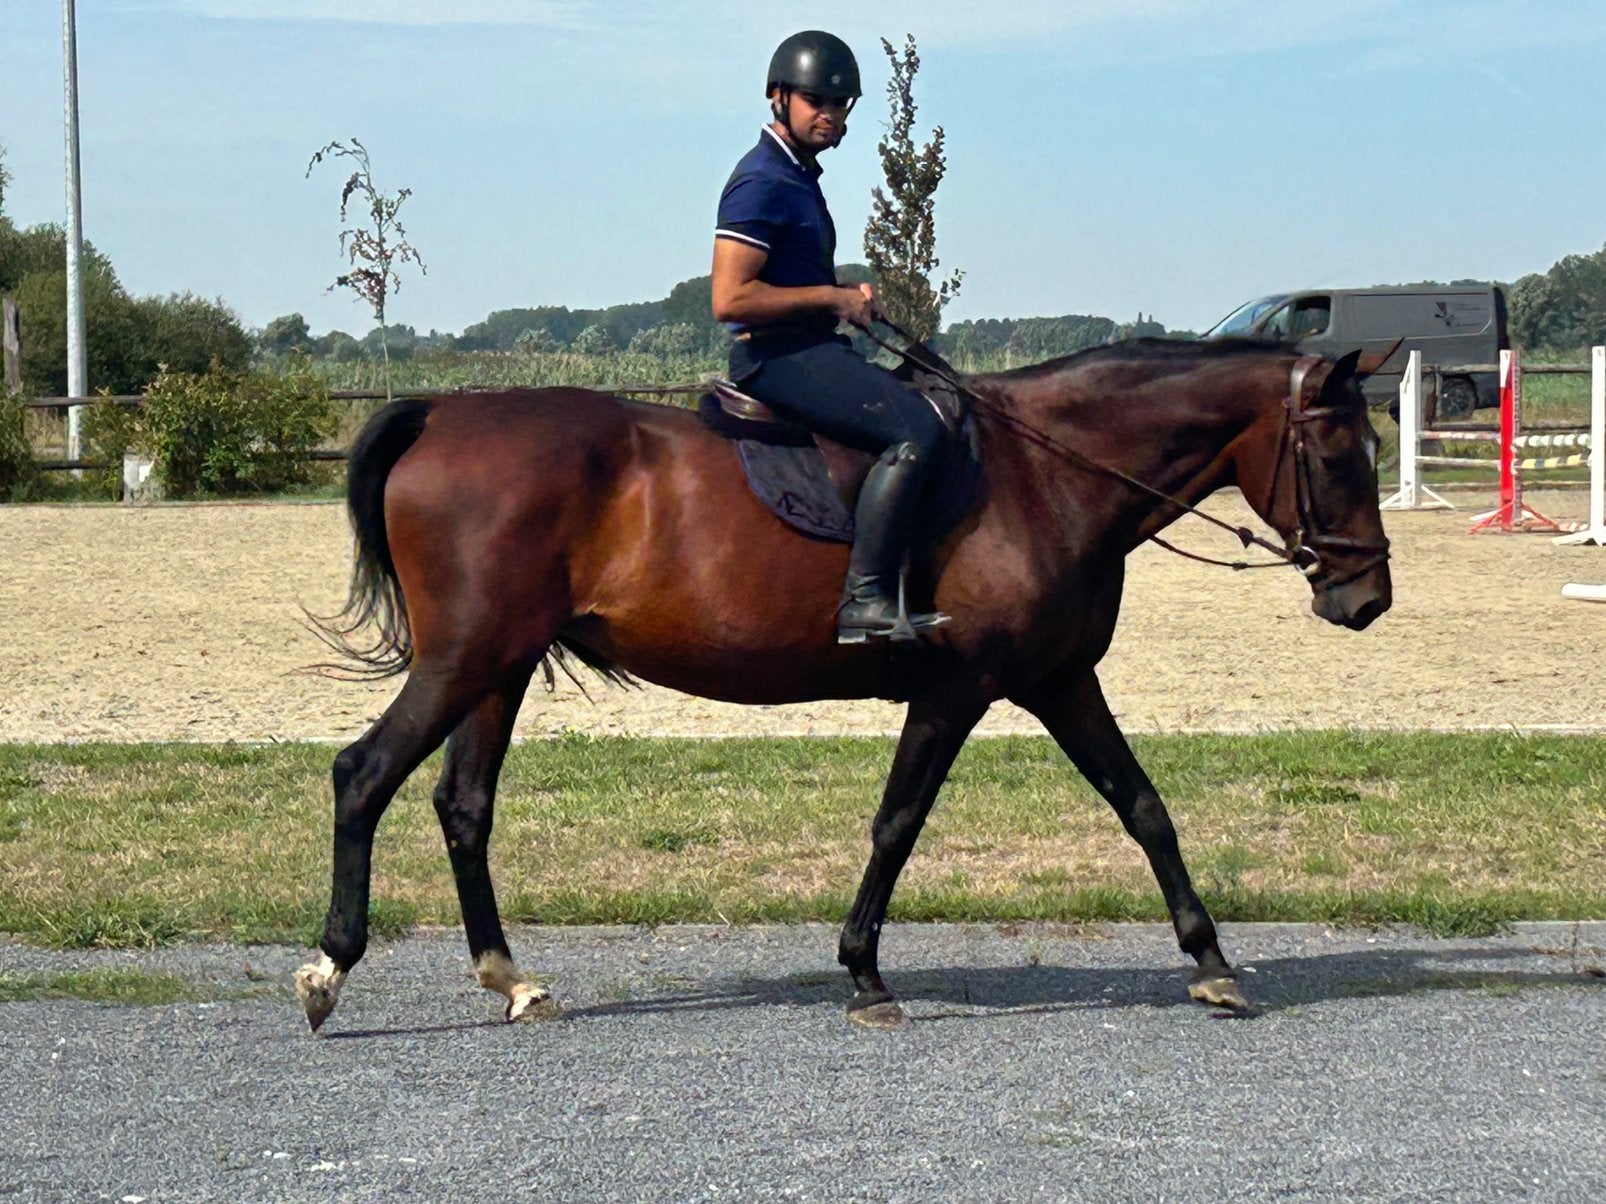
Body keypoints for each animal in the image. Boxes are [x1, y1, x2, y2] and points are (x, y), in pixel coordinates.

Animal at [293, 338, 1391, 1032]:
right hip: (465, 659)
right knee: (365, 774)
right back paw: (329, 969)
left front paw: (1212, 963)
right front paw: (863, 974)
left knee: (462, 804)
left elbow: (1143, 806)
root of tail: (443, 413)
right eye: (1338, 451)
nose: (1367, 597)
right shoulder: (958, 688)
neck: (1045, 476)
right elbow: (897, 822)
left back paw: (510, 980)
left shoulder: (1060, 680)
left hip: (500, 666)